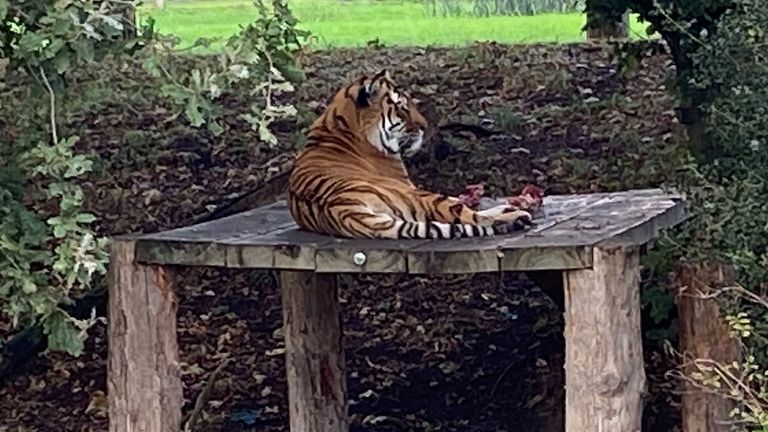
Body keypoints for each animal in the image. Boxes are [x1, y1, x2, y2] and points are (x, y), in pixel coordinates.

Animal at [287, 69, 534, 240]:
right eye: (402, 108)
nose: (425, 126)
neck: (338, 125)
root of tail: (345, 210)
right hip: (423, 196)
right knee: (472, 217)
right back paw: (515, 216)